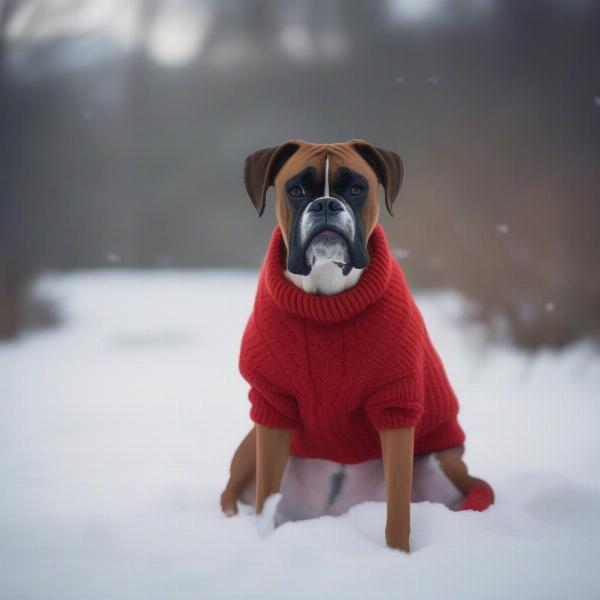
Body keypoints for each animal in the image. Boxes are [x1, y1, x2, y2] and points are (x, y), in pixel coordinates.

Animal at [219, 138, 492, 552]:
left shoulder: (395, 407)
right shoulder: (271, 406)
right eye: (296, 190)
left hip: (440, 463)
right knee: (232, 498)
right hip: (251, 445)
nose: (326, 205)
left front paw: (398, 554)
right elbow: (267, 496)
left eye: (356, 188)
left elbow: (398, 509)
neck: (327, 298)